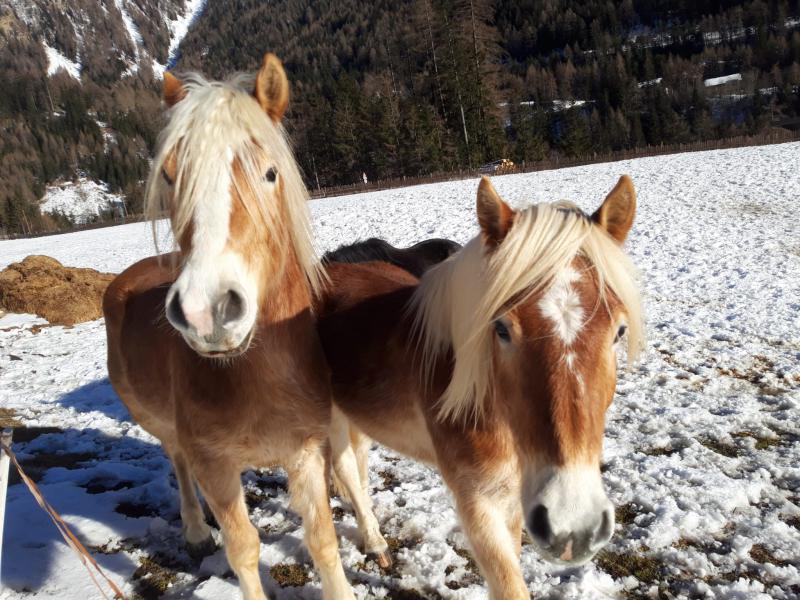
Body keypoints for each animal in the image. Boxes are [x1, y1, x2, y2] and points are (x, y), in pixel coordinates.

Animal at [103, 52, 360, 600]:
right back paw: (196, 530)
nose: (207, 311)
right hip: (166, 430)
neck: (255, 376)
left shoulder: (307, 454)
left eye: (270, 173)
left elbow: (322, 541)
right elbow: (242, 550)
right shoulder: (216, 466)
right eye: (171, 176)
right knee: (177, 461)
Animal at [318, 176, 644, 596]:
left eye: (618, 330)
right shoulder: (477, 502)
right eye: (502, 328)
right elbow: (509, 585)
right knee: (344, 466)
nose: (574, 528)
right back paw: (375, 542)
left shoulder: (515, 492)